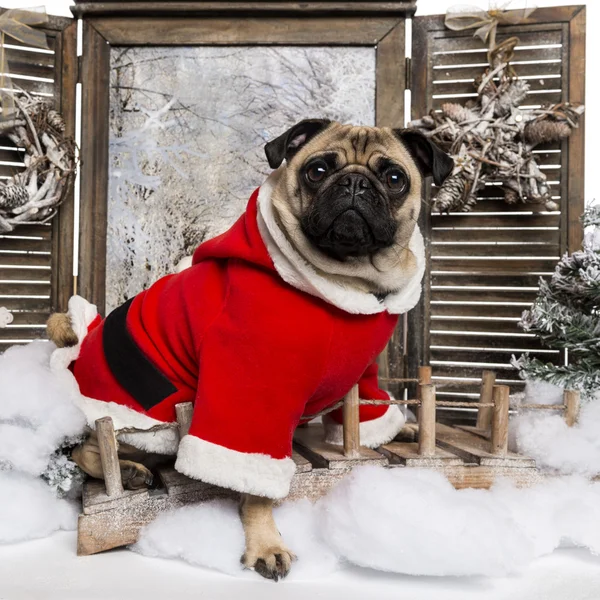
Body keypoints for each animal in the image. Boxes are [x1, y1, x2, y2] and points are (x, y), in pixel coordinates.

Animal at [47, 118, 452, 580]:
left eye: (395, 178)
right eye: (317, 171)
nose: (354, 183)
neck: (347, 284)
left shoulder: (363, 370)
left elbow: (368, 408)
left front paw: (400, 427)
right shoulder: (254, 390)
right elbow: (255, 482)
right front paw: (266, 543)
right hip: (143, 424)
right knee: (87, 448)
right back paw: (128, 473)